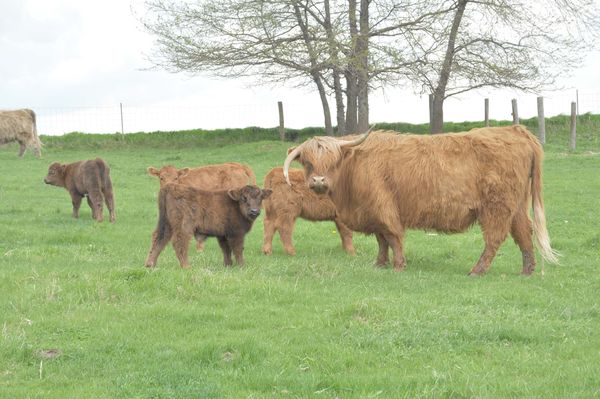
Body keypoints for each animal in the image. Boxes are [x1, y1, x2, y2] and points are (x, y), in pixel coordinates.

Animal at [146, 184, 274, 268]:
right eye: (244, 198)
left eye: (260, 198)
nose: (254, 211)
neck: (235, 205)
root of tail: (170, 186)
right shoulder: (236, 234)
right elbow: (238, 249)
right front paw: (241, 265)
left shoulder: (223, 235)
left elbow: (226, 249)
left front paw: (228, 265)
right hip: (183, 226)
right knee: (180, 241)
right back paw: (186, 266)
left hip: (166, 224)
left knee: (159, 238)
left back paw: (150, 264)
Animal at [284, 126, 560, 276]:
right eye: (307, 162)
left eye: (333, 160)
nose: (319, 181)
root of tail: (515, 130)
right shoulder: (373, 214)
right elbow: (381, 241)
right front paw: (379, 264)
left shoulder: (384, 208)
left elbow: (393, 237)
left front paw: (398, 266)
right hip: (516, 206)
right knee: (523, 232)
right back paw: (527, 271)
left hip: (497, 206)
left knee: (495, 238)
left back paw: (477, 271)